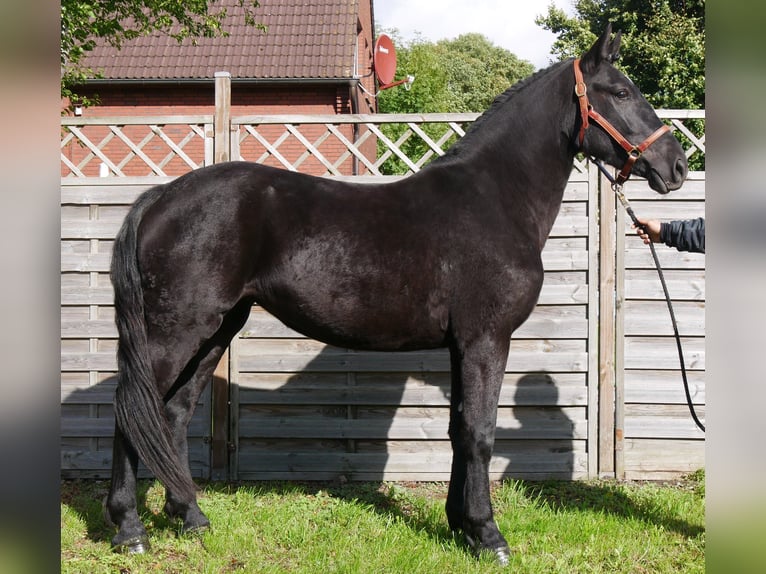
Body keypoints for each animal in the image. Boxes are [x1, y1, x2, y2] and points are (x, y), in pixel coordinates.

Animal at [105, 24, 687, 563]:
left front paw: (459, 525)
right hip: (175, 331)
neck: (493, 199)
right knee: (130, 409)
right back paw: (129, 529)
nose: (676, 166)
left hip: (216, 330)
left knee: (171, 413)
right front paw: (488, 535)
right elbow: (480, 431)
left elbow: (459, 429)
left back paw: (191, 517)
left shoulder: (462, 344)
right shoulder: (486, 338)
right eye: (620, 91)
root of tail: (162, 195)